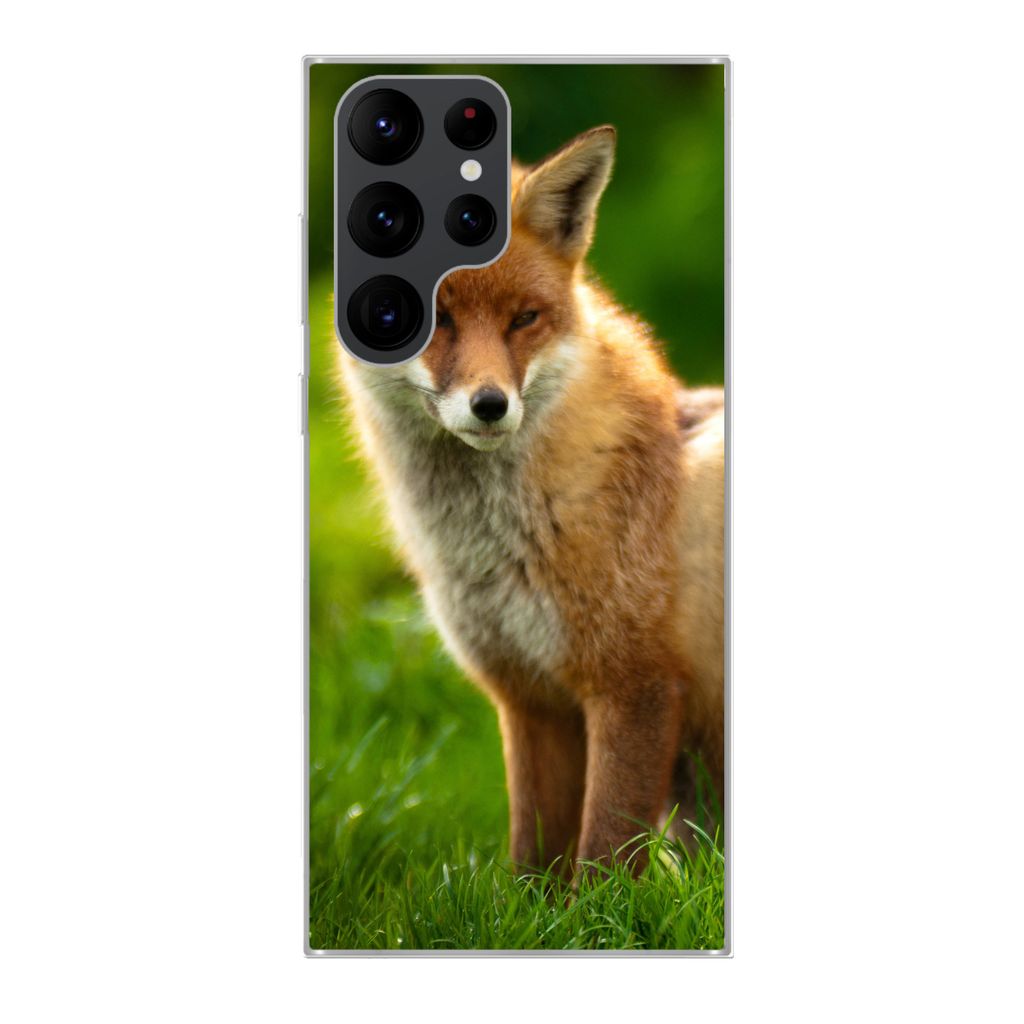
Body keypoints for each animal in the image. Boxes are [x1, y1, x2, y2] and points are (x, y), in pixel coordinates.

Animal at [338, 125, 724, 875]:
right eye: (428, 318)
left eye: (524, 319)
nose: (491, 405)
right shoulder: (527, 697)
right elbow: (531, 861)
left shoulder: (634, 685)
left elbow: (603, 855)